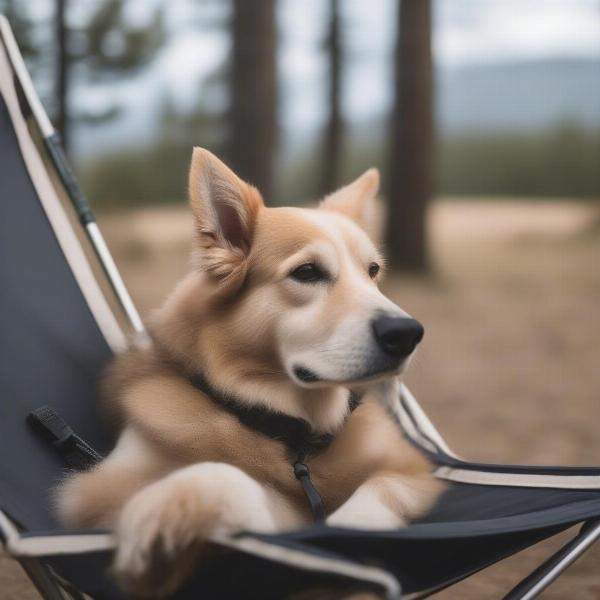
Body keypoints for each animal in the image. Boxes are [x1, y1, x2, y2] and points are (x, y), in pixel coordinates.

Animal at [55, 149, 440, 596]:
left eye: (373, 271)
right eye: (307, 272)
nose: (408, 334)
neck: (289, 432)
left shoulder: (413, 469)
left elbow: (377, 491)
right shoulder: (90, 494)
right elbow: (237, 482)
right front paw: (159, 505)